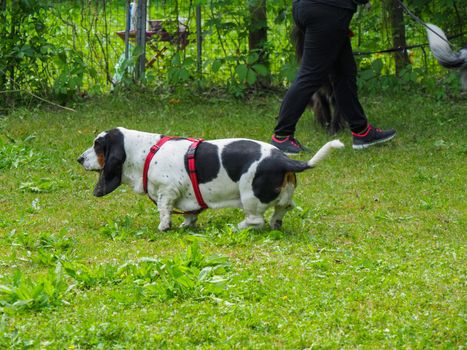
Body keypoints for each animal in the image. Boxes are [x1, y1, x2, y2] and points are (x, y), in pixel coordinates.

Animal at [77, 127, 344, 231]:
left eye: (97, 145)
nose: (79, 159)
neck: (145, 151)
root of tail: (284, 160)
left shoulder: (167, 190)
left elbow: (164, 209)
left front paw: (164, 226)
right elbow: (189, 212)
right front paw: (187, 225)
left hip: (249, 196)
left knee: (255, 220)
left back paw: (238, 227)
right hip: (283, 198)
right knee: (281, 211)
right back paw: (275, 224)